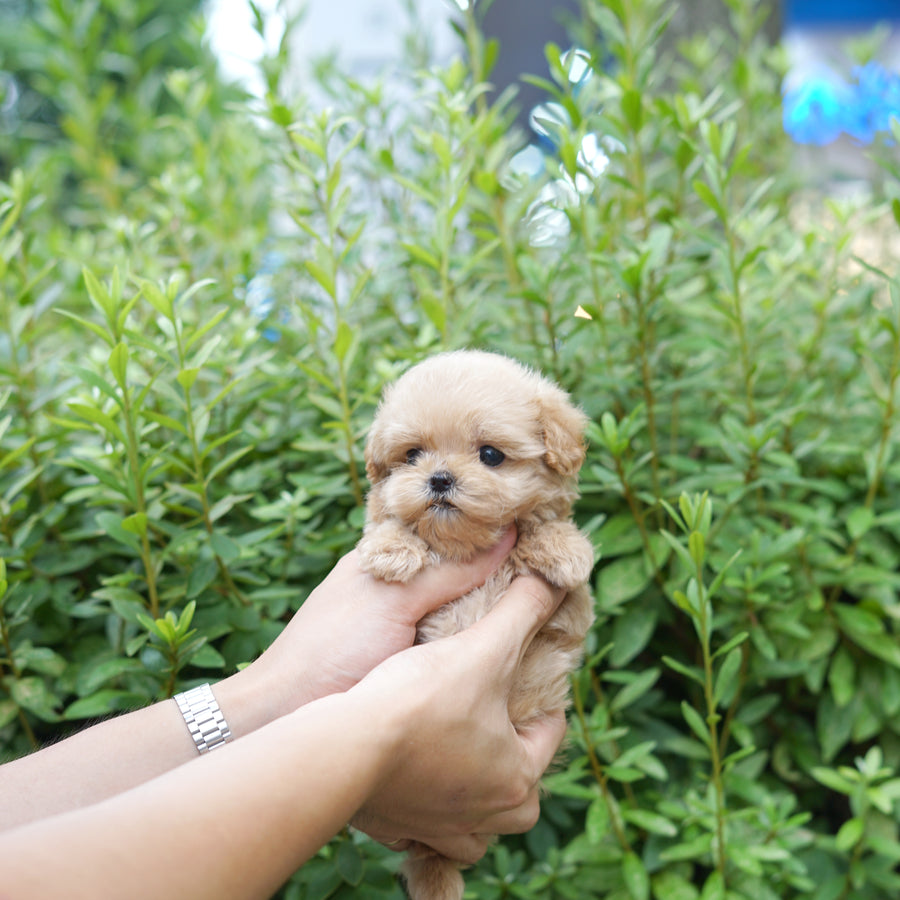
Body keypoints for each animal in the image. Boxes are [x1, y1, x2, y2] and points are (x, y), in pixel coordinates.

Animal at [356, 350, 596, 900]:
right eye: (412, 455)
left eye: (490, 455)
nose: (440, 478)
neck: (465, 547)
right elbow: (387, 520)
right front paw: (392, 548)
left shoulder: (571, 617)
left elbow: (550, 542)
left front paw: (561, 547)